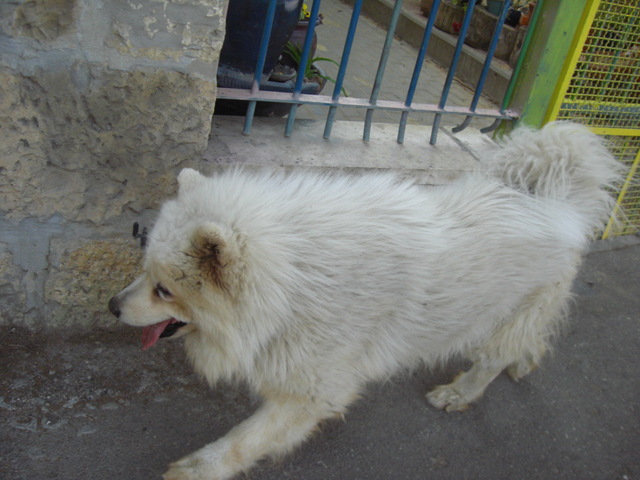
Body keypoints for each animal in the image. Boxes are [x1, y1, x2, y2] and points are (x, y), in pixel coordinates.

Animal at [110, 121, 620, 480]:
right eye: (145, 270)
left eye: (164, 289)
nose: (113, 306)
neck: (295, 278)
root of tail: (554, 198)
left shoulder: (314, 392)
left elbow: (245, 439)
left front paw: (199, 468)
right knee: (528, 341)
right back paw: (526, 361)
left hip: (505, 314)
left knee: (493, 359)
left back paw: (461, 391)